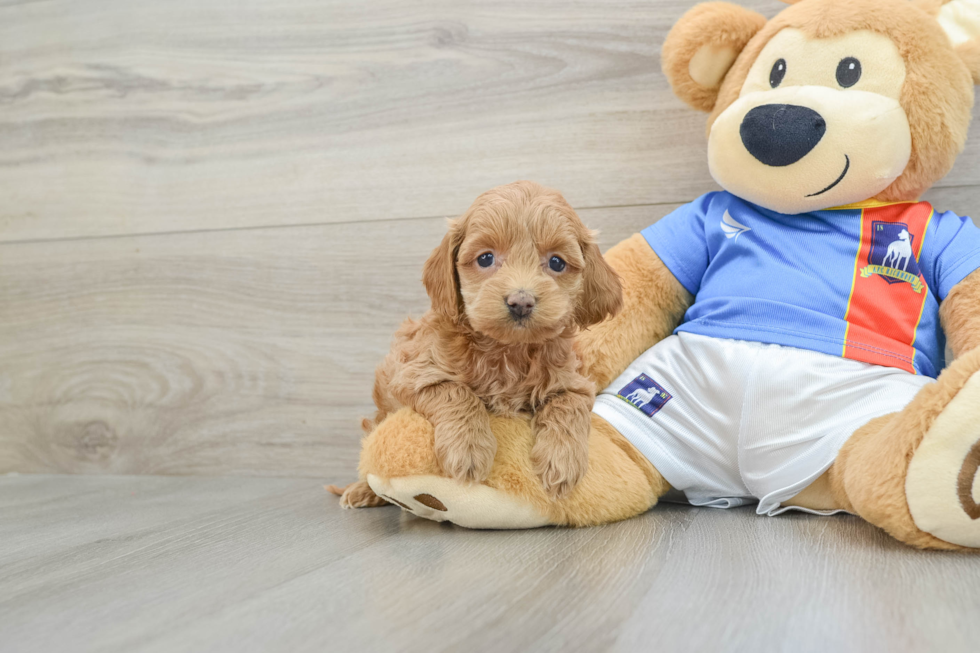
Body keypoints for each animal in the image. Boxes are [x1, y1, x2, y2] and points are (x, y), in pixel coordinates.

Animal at [334, 181, 624, 506]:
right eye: (485, 258)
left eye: (556, 262)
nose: (521, 302)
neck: (507, 349)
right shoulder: (414, 374)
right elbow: (456, 392)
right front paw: (468, 449)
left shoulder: (572, 381)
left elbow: (569, 404)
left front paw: (562, 461)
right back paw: (362, 491)